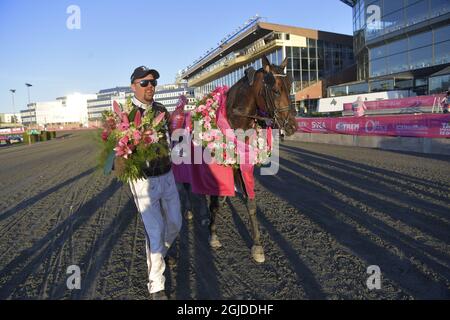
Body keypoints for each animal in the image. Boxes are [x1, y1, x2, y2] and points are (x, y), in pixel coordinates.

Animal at [180, 55, 298, 262]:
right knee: (188, 186)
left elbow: (250, 204)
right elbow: (216, 203)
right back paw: (190, 211)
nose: (292, 126)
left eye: (290, 85)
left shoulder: (242, 165)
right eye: (275, 90)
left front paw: (257, 245)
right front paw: (213, 235)